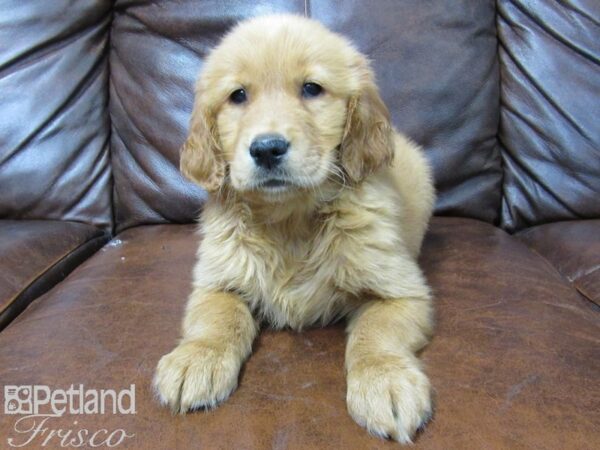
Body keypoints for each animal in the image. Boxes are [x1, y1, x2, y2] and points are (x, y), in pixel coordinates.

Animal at [154, 13, 436, 442]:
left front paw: (386, 382)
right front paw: (196, 359)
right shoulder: (216, 281)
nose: (267, 148)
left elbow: (376, 332)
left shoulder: (402, 292)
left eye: (311, 89)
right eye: (238, 96)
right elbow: (218, 318)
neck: (289, 220)